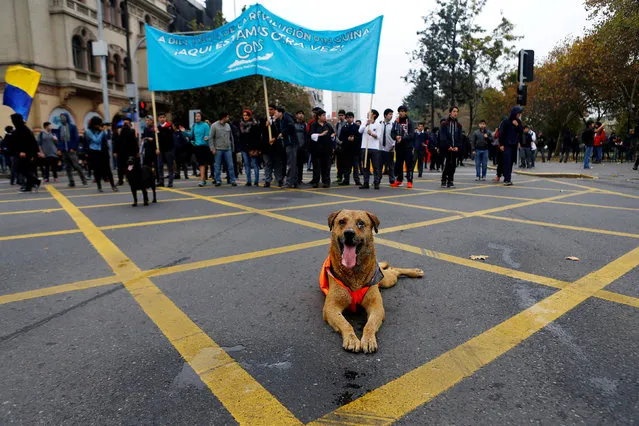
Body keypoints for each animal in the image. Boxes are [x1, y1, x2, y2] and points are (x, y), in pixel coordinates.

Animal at [320, 210, 424, 352]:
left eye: (361, 223)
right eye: (341, 221)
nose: (349, 233)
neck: (354, 274)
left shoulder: (376, 306)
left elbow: (369, 325)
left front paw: (368, 339)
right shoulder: (330, 308)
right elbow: (345, 323)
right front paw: (351, 338)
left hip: (388, 281)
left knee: (394, 270)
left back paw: (415, 272)